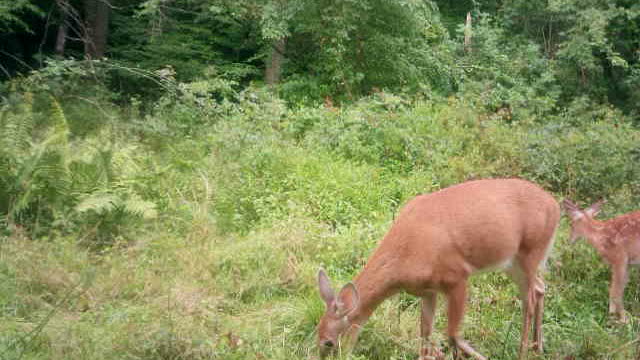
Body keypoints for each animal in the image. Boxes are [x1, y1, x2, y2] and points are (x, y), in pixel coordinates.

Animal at [318, 179, 556, 360]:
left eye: (328, 342)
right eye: (316, 333)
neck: (406, 254)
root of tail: (555, 204)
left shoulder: (457, 276)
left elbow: (452, 334)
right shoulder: (427, 290)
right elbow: (425, 332)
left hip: (530, 251)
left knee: (529, 301)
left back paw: (523, 352)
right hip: (512, 262)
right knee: (540, 288)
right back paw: (538, 347)